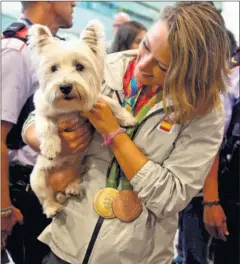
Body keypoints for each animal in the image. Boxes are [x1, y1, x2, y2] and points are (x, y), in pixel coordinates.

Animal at [27, 20, 136, 218]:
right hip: (37, 179)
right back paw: (53, 207)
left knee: (74, 181)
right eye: (53, 68)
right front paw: (51, 148)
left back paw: (73, 188)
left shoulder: (94, 101)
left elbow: (111, 102)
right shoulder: (41, 110)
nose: (65, 86)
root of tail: (60, 188)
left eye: (79, 67)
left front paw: (127, 118)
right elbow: (46, 126)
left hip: (82, 166)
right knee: (46, 197)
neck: (70, 107)